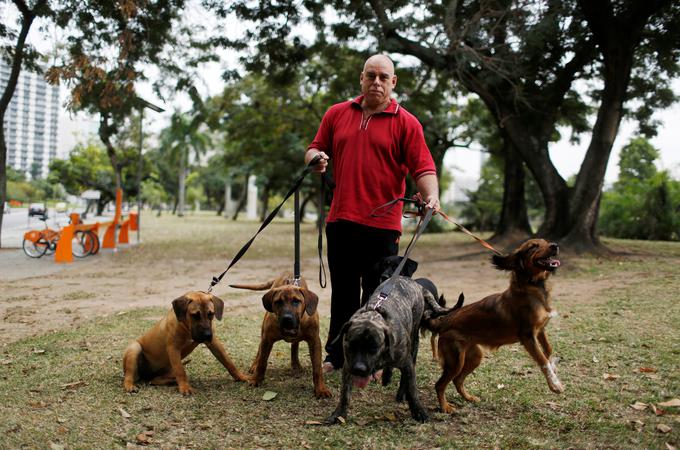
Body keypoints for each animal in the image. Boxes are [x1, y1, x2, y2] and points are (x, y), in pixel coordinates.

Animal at [424, 239, 564, 412]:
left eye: (545, 242)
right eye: (533, 247)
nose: (555, 245)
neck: (533, 286)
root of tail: (444, 321)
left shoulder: (540, 329)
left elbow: (548, 350)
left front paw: (554, 370)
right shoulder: (527, 336)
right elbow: (542, 360)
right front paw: (554, 385)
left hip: (475, 357)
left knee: (458, 380)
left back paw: (469, 398)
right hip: (455, 361)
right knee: (440, 384)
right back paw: (445, 407)